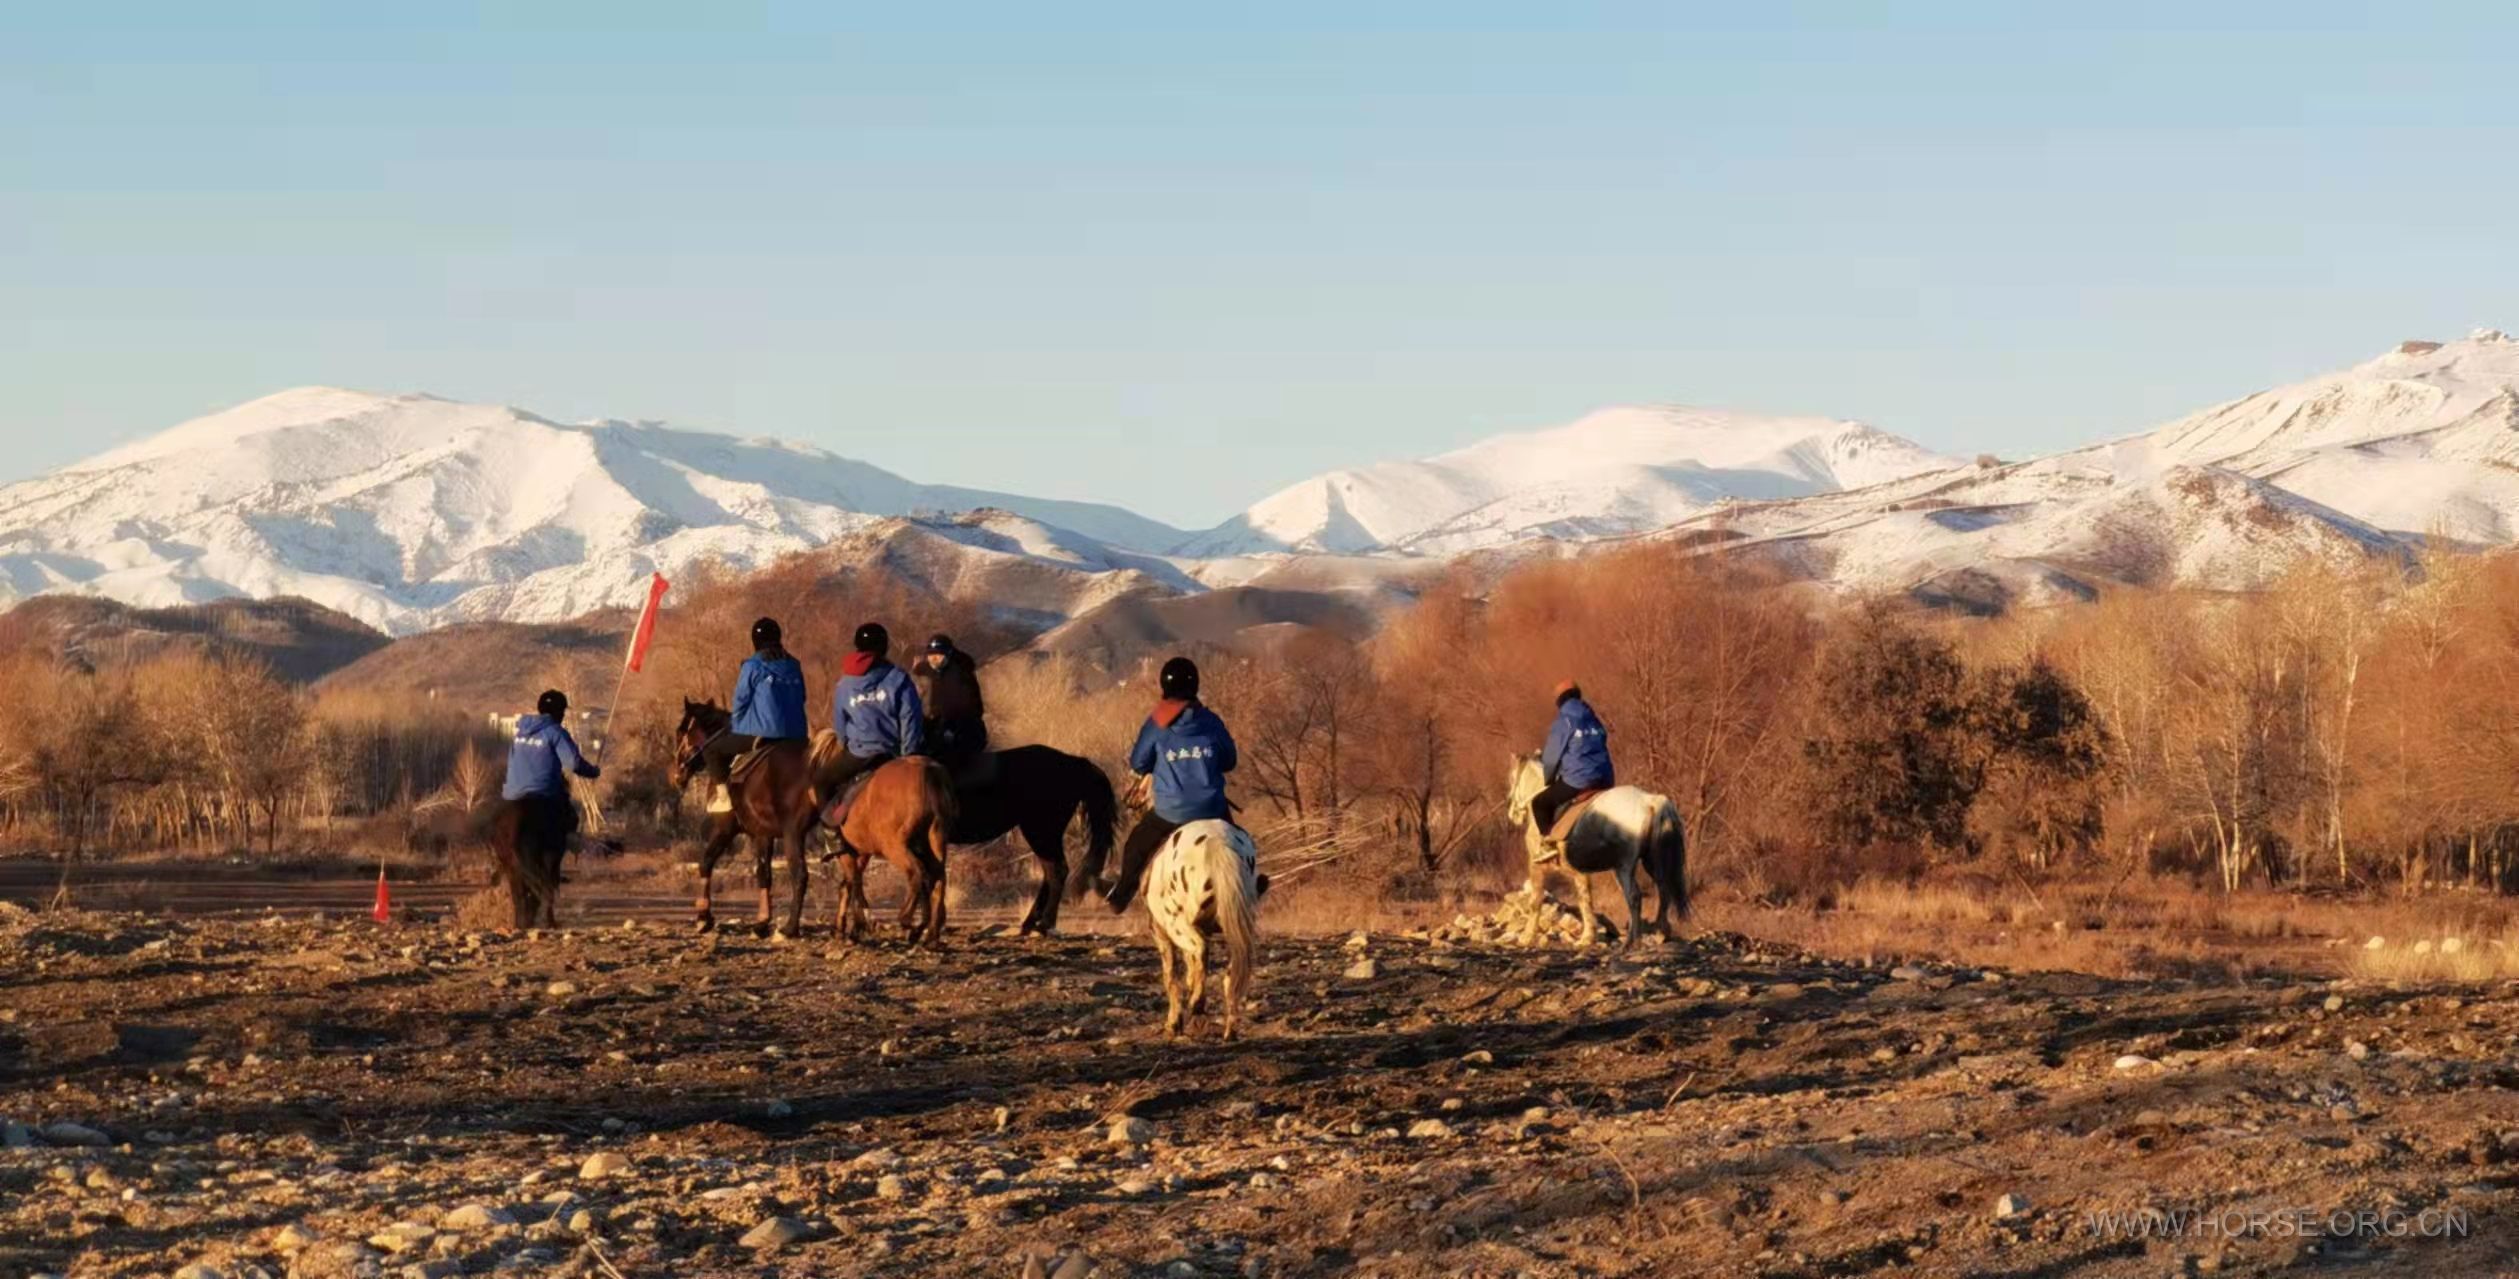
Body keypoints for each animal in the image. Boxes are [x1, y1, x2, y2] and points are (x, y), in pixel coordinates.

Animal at [665, 699, 821, 941]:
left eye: (680, 732)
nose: (677, 776)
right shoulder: (763, 834)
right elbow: (763, 874)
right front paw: (762, 922)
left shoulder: (726, 829)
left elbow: (706, 862)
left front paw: (703, 918)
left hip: (793, 834)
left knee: (800, 874)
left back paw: (790, 928)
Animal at [811, 735, 957, 946]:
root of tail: (928, 773)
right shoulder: (862, 854)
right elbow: (849, 885)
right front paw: (848, 928)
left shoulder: (847, 854)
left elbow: (853, 883)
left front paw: (856, 926)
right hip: (935, 840)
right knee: (937, 879)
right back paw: (930, 935)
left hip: (894, 847)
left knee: (916, 873)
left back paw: (907, 921)